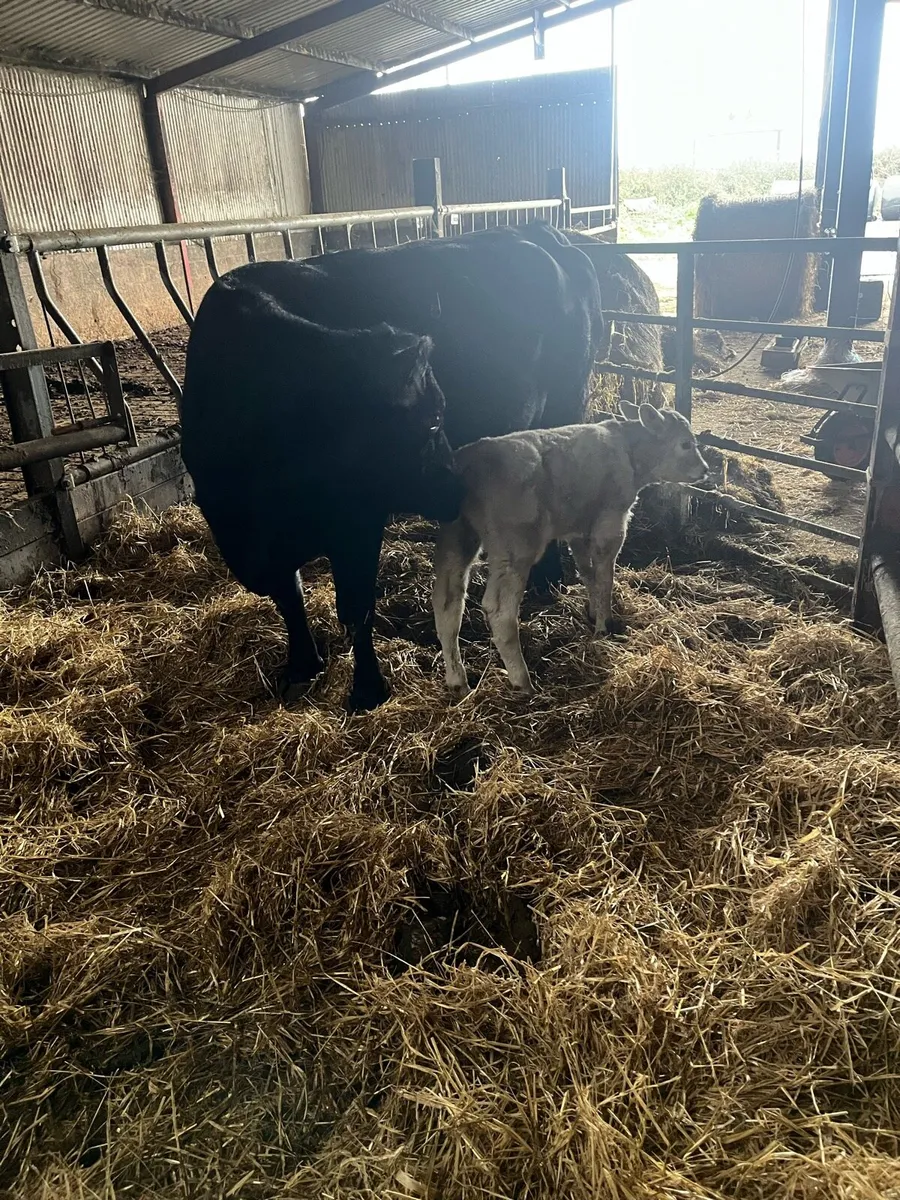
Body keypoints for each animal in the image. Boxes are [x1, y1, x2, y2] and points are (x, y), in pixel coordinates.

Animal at [181, 280, 462, 712]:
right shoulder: (238, 536)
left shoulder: (357, 525)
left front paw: (367, 689)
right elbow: (288, 596)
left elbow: (356, 608)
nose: (458, 488)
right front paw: (302, 665)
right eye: (432, 421)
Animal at [432, 402, 709, 698]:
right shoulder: (611, 522)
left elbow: (587, 573)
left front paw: (593, 613)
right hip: (515, 549)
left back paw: (458, 681)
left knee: (447, 603)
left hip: (457, 536)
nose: (704, 469)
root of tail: (471, 460)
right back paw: (523, 682)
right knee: (499, 611)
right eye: (685, 444)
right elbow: (605, 578)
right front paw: (604, 626)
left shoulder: (578, 529)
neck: (628, 450)